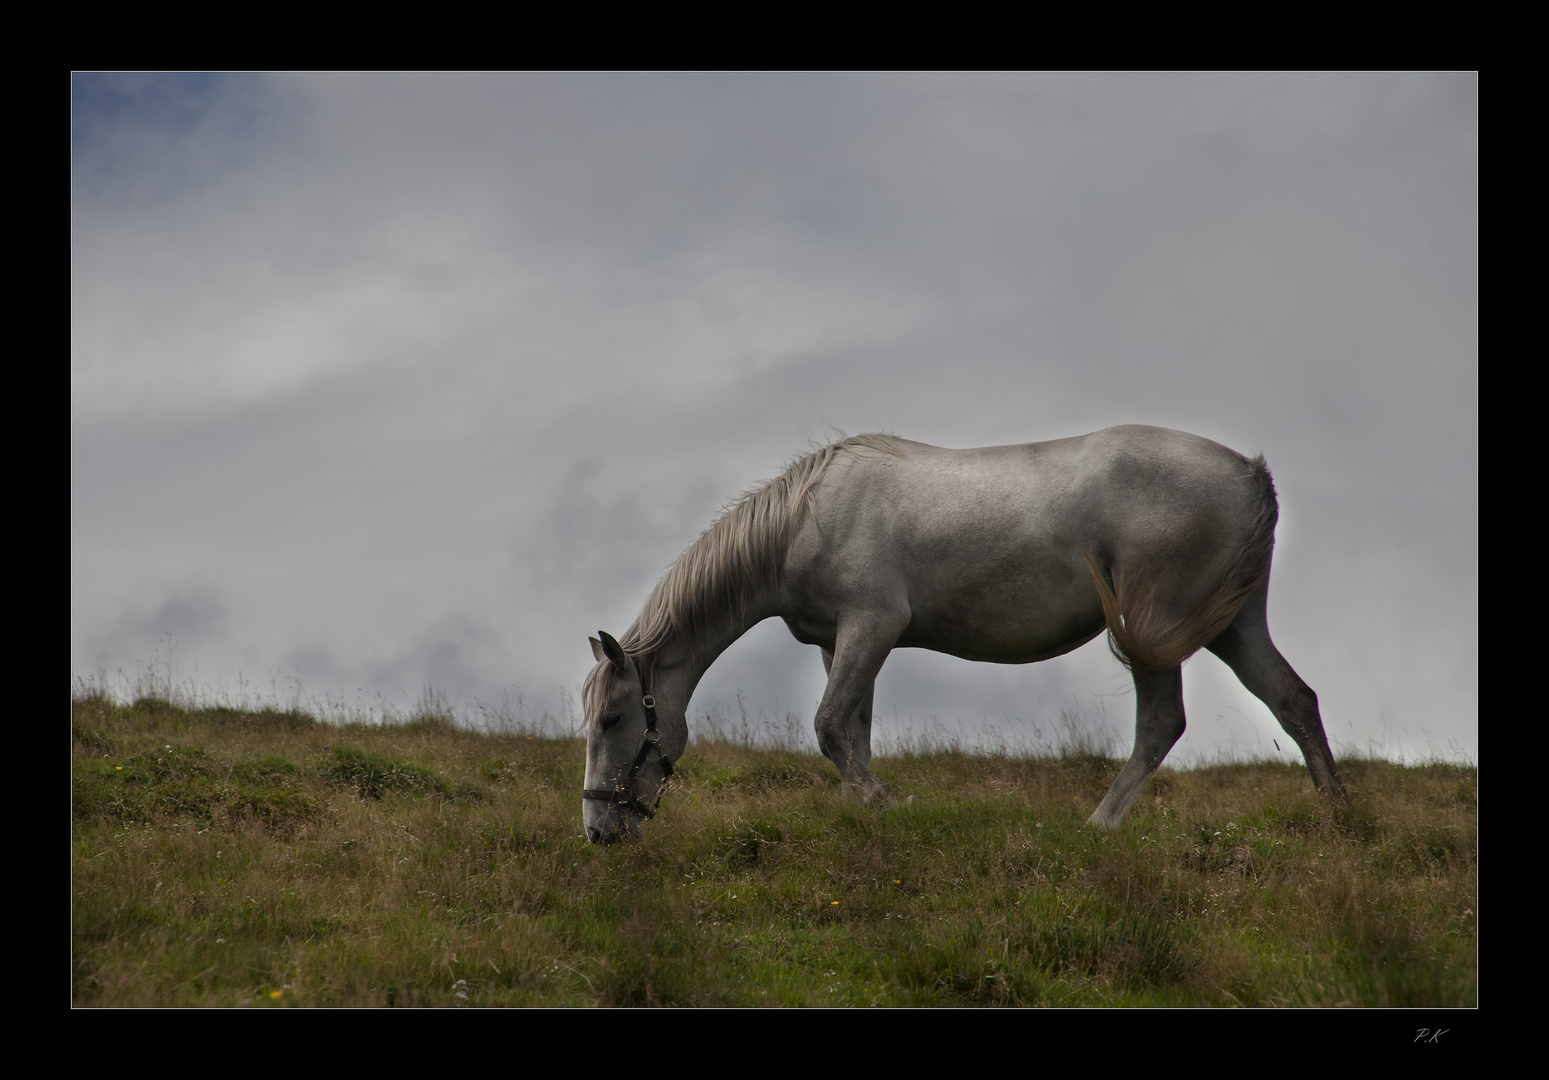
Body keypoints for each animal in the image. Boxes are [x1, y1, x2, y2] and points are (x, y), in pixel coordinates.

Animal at [582, 427, 1344, 842]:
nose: (598, 831)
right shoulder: (841, 641)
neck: (805, 517)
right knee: (1292, 700)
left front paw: (883, 802)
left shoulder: (872, 625)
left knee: (1161, 725)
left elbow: (829, 727)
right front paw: (862, 812)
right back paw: (1339, 815)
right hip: (1232, 625)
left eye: (614, 718)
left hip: (1157, 628)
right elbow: (851, 731)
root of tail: (1250, 475)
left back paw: (1097, 828)